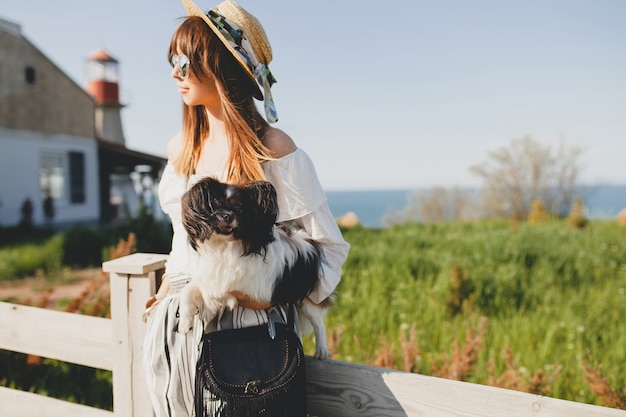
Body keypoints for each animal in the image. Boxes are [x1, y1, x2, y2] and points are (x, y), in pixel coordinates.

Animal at [177, 176, 330, 358]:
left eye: (238, 208)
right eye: (214, 204)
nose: (227, 216)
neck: (224, 245)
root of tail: (308, 240)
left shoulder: (252, 286)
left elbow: (218, 292)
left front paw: (208, 308)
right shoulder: (209, 276)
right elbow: (189, 290)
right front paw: (185, 322)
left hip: (308, 299)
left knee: (318, 322)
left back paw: (322, 350)